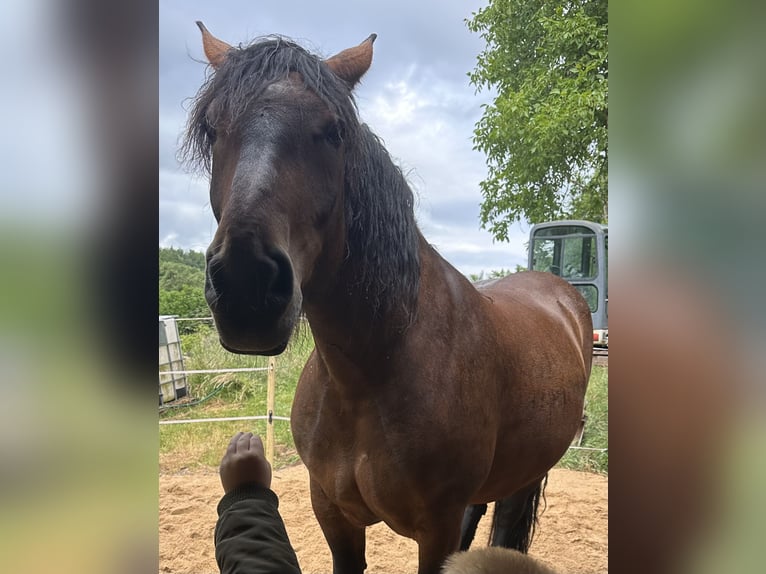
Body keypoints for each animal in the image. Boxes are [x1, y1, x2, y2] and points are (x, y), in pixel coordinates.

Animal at [184, 23, 593, 574]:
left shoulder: (435, 528)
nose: (247, 285)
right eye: (212, 128)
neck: (369, 375)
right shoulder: (332, 512)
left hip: (527, 470)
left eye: (334, 131)